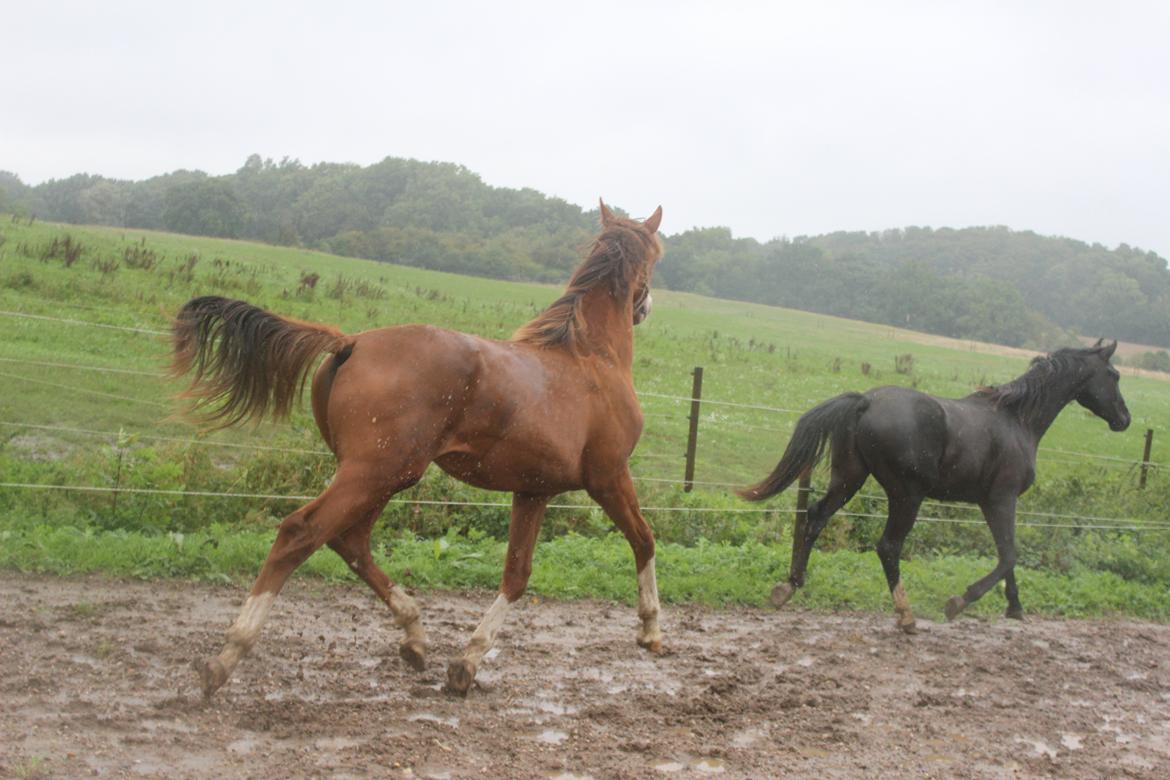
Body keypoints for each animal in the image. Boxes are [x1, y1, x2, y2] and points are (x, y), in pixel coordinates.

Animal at [174, 204, 669, 696]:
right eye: (656, 257)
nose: (645, 307)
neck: (591, 357)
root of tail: (350, 343)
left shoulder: (533, 491)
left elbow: (517, 575)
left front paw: (466, 662)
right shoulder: (608, 475)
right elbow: (644, 538)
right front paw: (650, 630)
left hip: (381, 475)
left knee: (350, 541)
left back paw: (414, 636)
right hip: (376, 472)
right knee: (301, 532)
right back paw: (227, 656)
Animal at [739, 341, 1132, 636]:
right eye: (1113, 375)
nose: (1124, 419)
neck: (1017, 421)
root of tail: (865, 401)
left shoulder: (990, 503)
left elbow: (1007, 555)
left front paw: (1016, 609)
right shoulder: (1001, 500)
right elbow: (1009, 555)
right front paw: (959, 603)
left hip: (849, 479)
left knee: (816, 517)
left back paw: (788, 587)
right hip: (906, 495)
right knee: (888, 546)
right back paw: (906, 616)